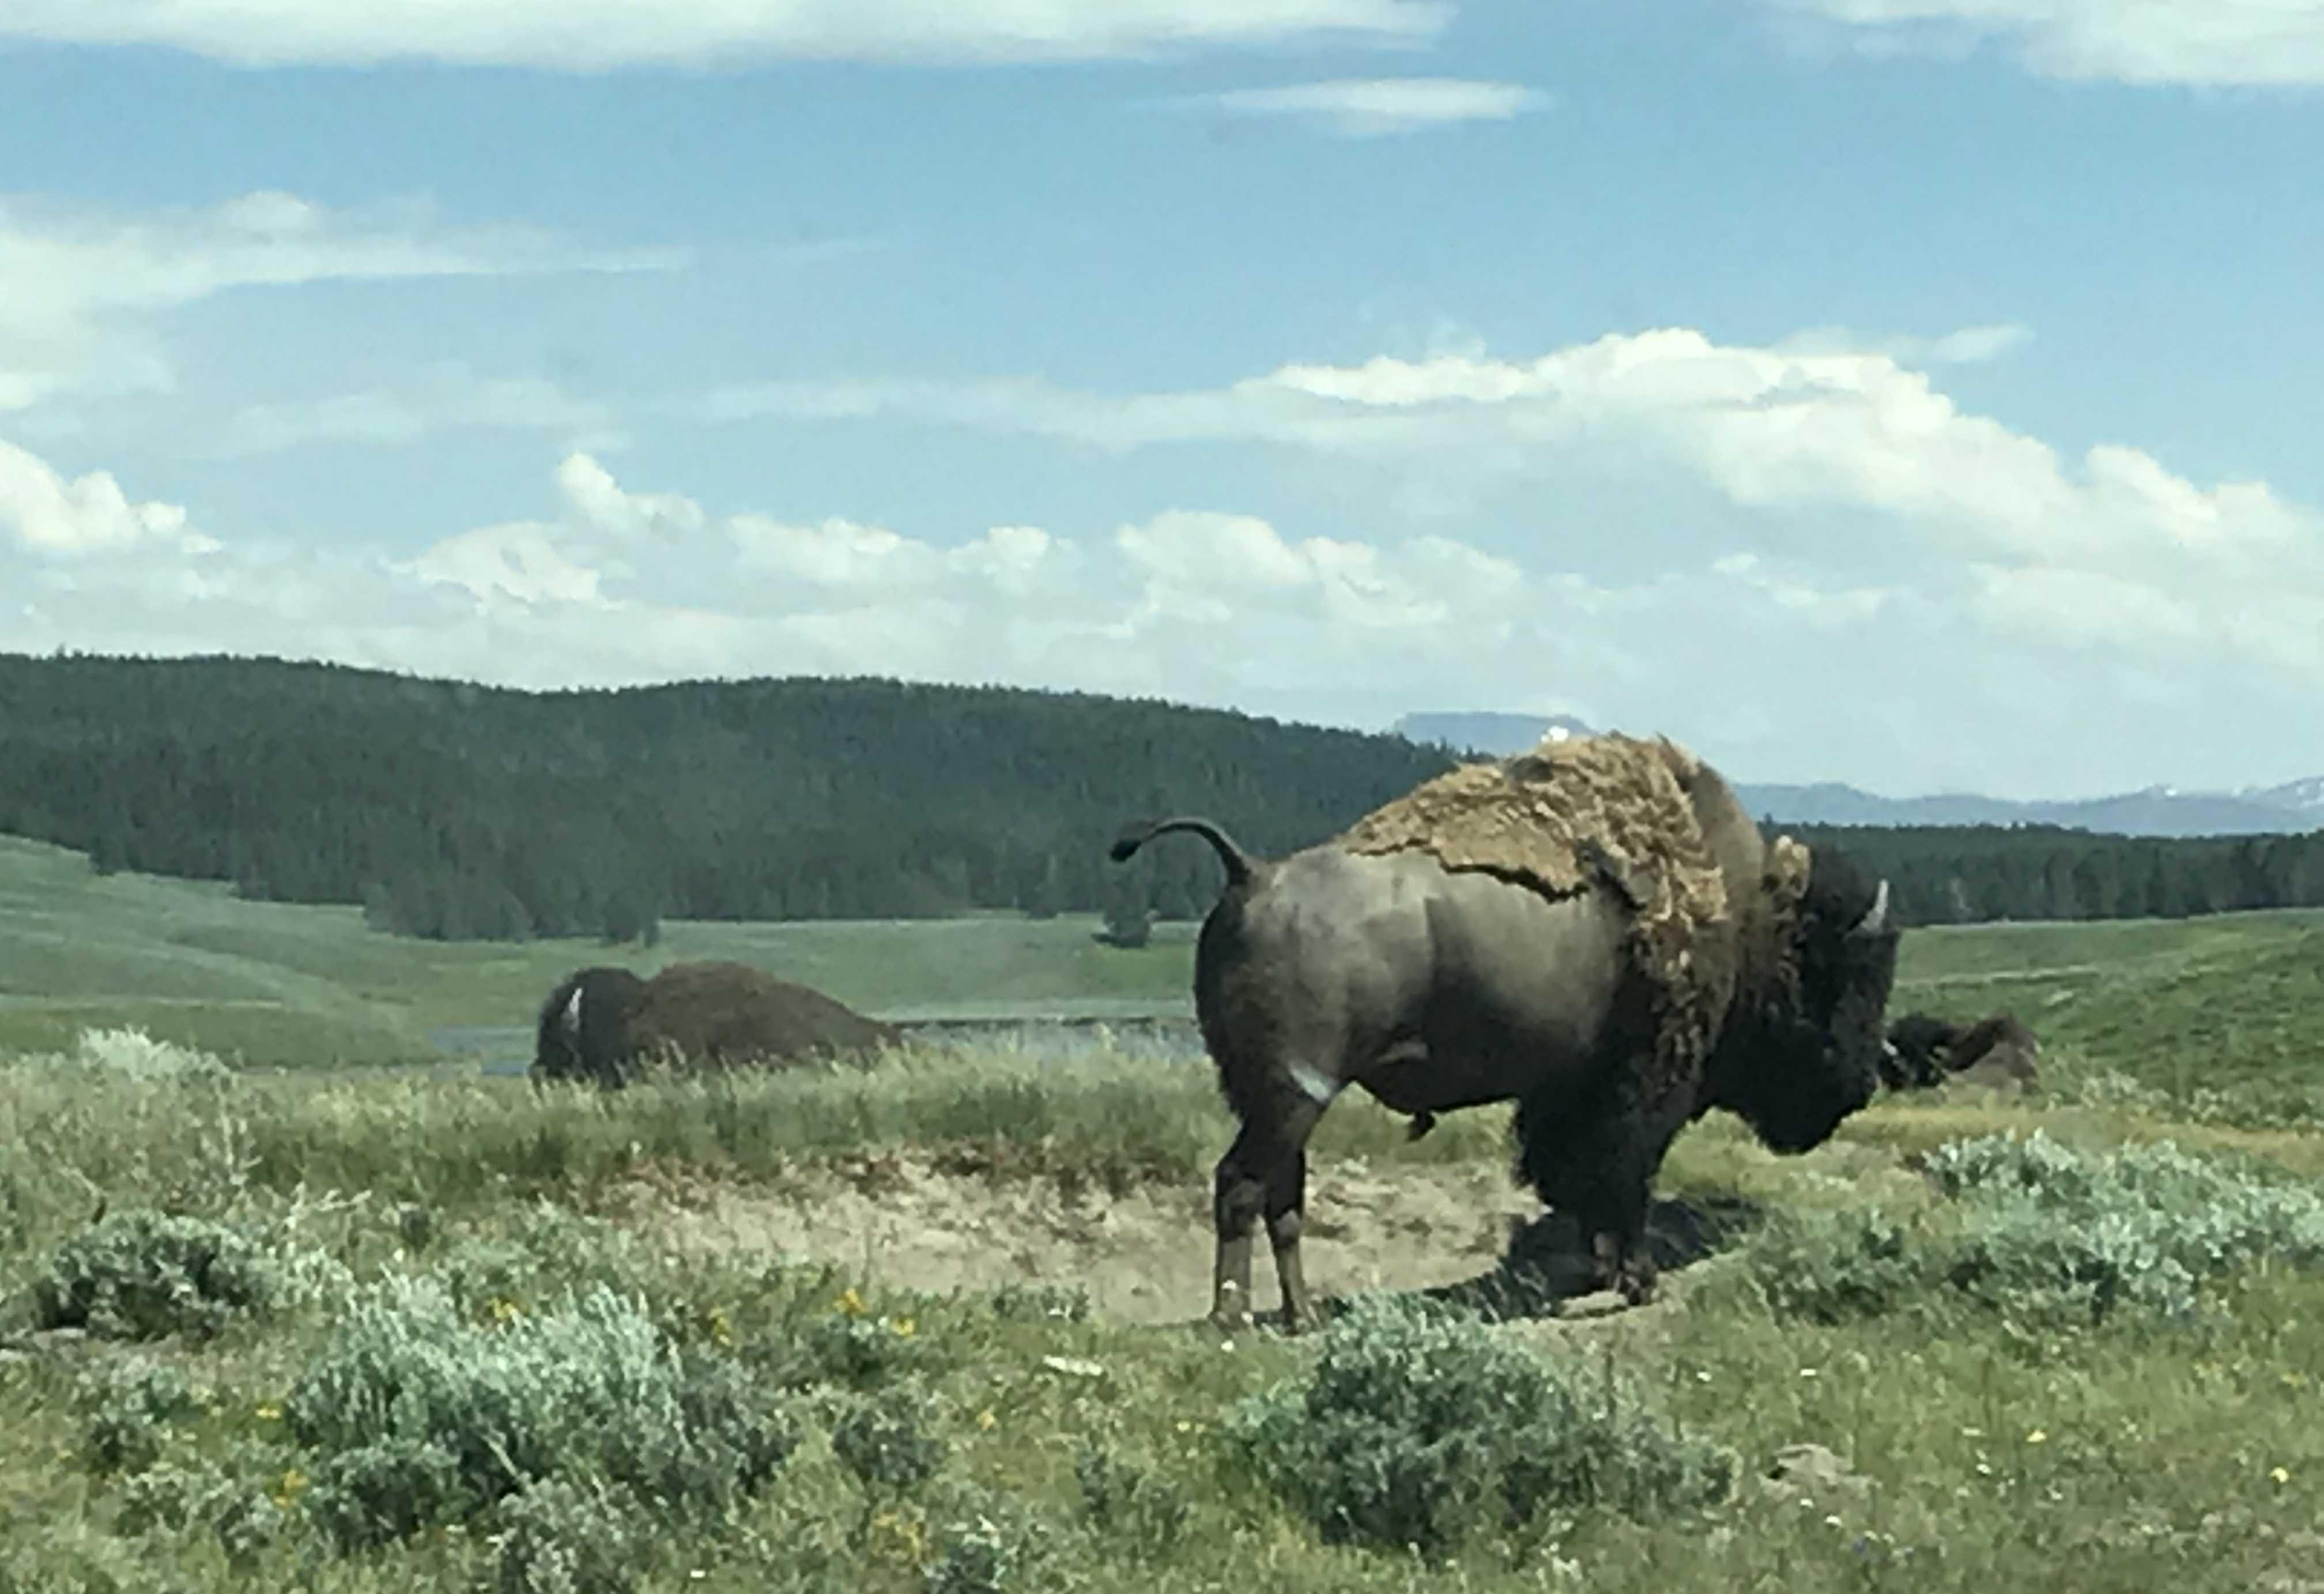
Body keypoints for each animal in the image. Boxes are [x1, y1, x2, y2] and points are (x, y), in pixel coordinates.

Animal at [1110, 732, 1900, 1331]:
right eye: (1841, 980)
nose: (1860, 1086)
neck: (1742, 912)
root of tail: (1252, 872)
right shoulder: (1642, 1086)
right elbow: (1624, 1176)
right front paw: (1636, 1280)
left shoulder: (1567, 1090)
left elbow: (1578, 1181)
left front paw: (1597, 1271)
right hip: (1292, 1093)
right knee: (1241, 1186)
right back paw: (1231, 1318)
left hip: (1278, 1102)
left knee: (1284, 1199)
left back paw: (1301, 1316)